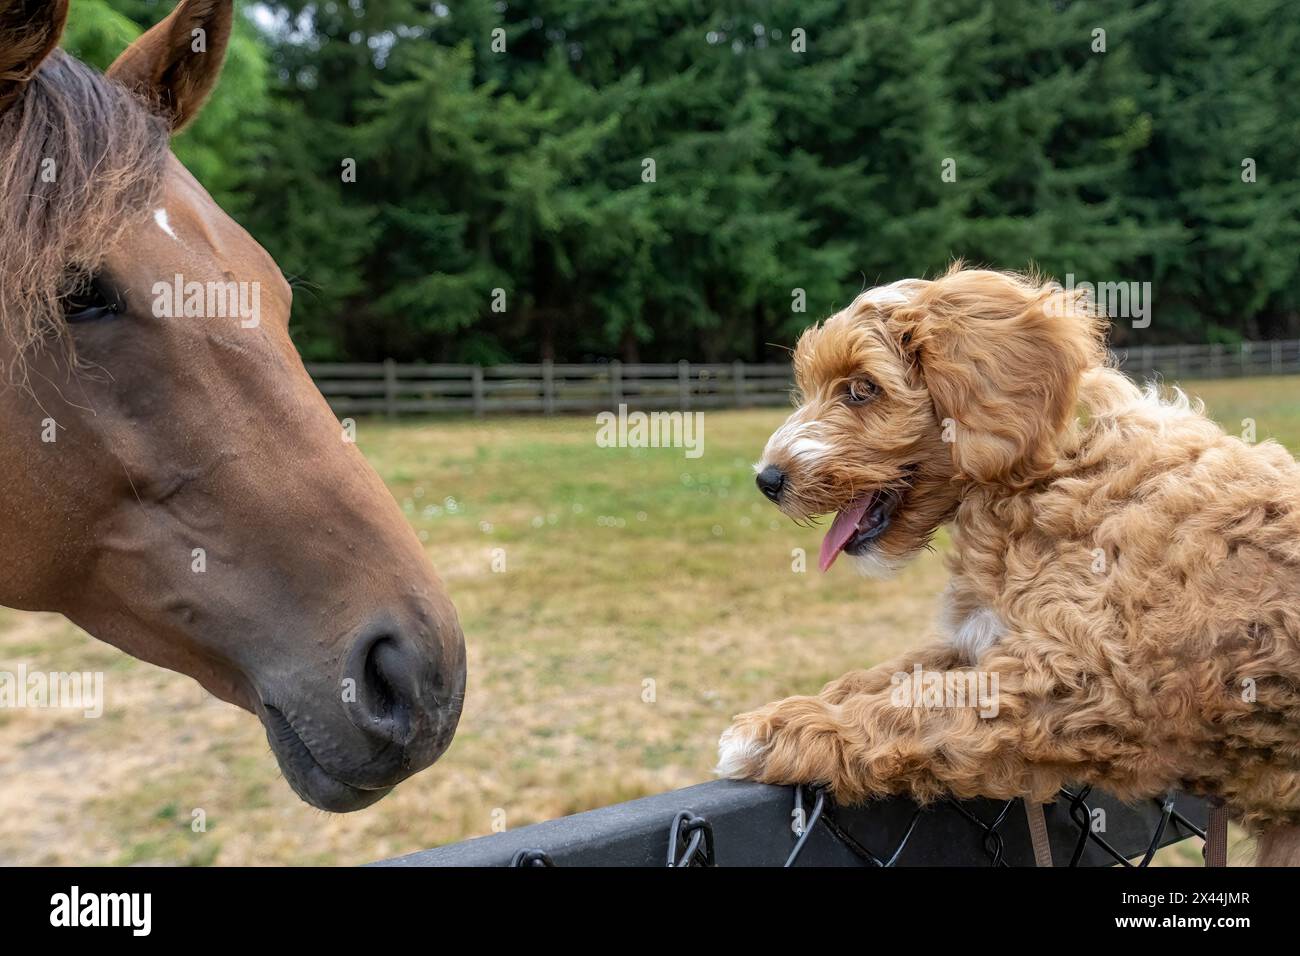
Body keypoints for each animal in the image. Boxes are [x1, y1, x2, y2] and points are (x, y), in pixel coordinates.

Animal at [717, 265, 1300, 863]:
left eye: (862, 389)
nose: (767, 480)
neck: (1059, 468)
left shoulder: (1088, 680)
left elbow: (924, 702)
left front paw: (770, 733)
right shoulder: (986, 633)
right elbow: (897, 672)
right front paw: (809, 702)